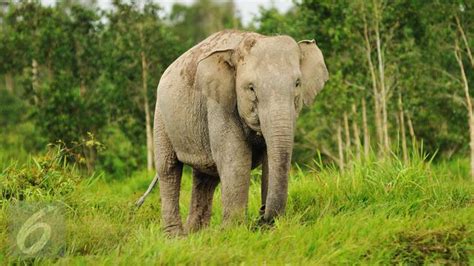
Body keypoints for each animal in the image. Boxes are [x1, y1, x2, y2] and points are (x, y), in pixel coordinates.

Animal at [138, 30, 326, 236]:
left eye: (298, 84)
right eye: (251, 88)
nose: (261, 217)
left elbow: (270, 159)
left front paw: (264, 230)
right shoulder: (219, 103)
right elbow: (235, 158)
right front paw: (233, 231)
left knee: (205, 177)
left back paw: (197, 234)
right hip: (161, 117)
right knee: (169, 168)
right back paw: (176, 237)